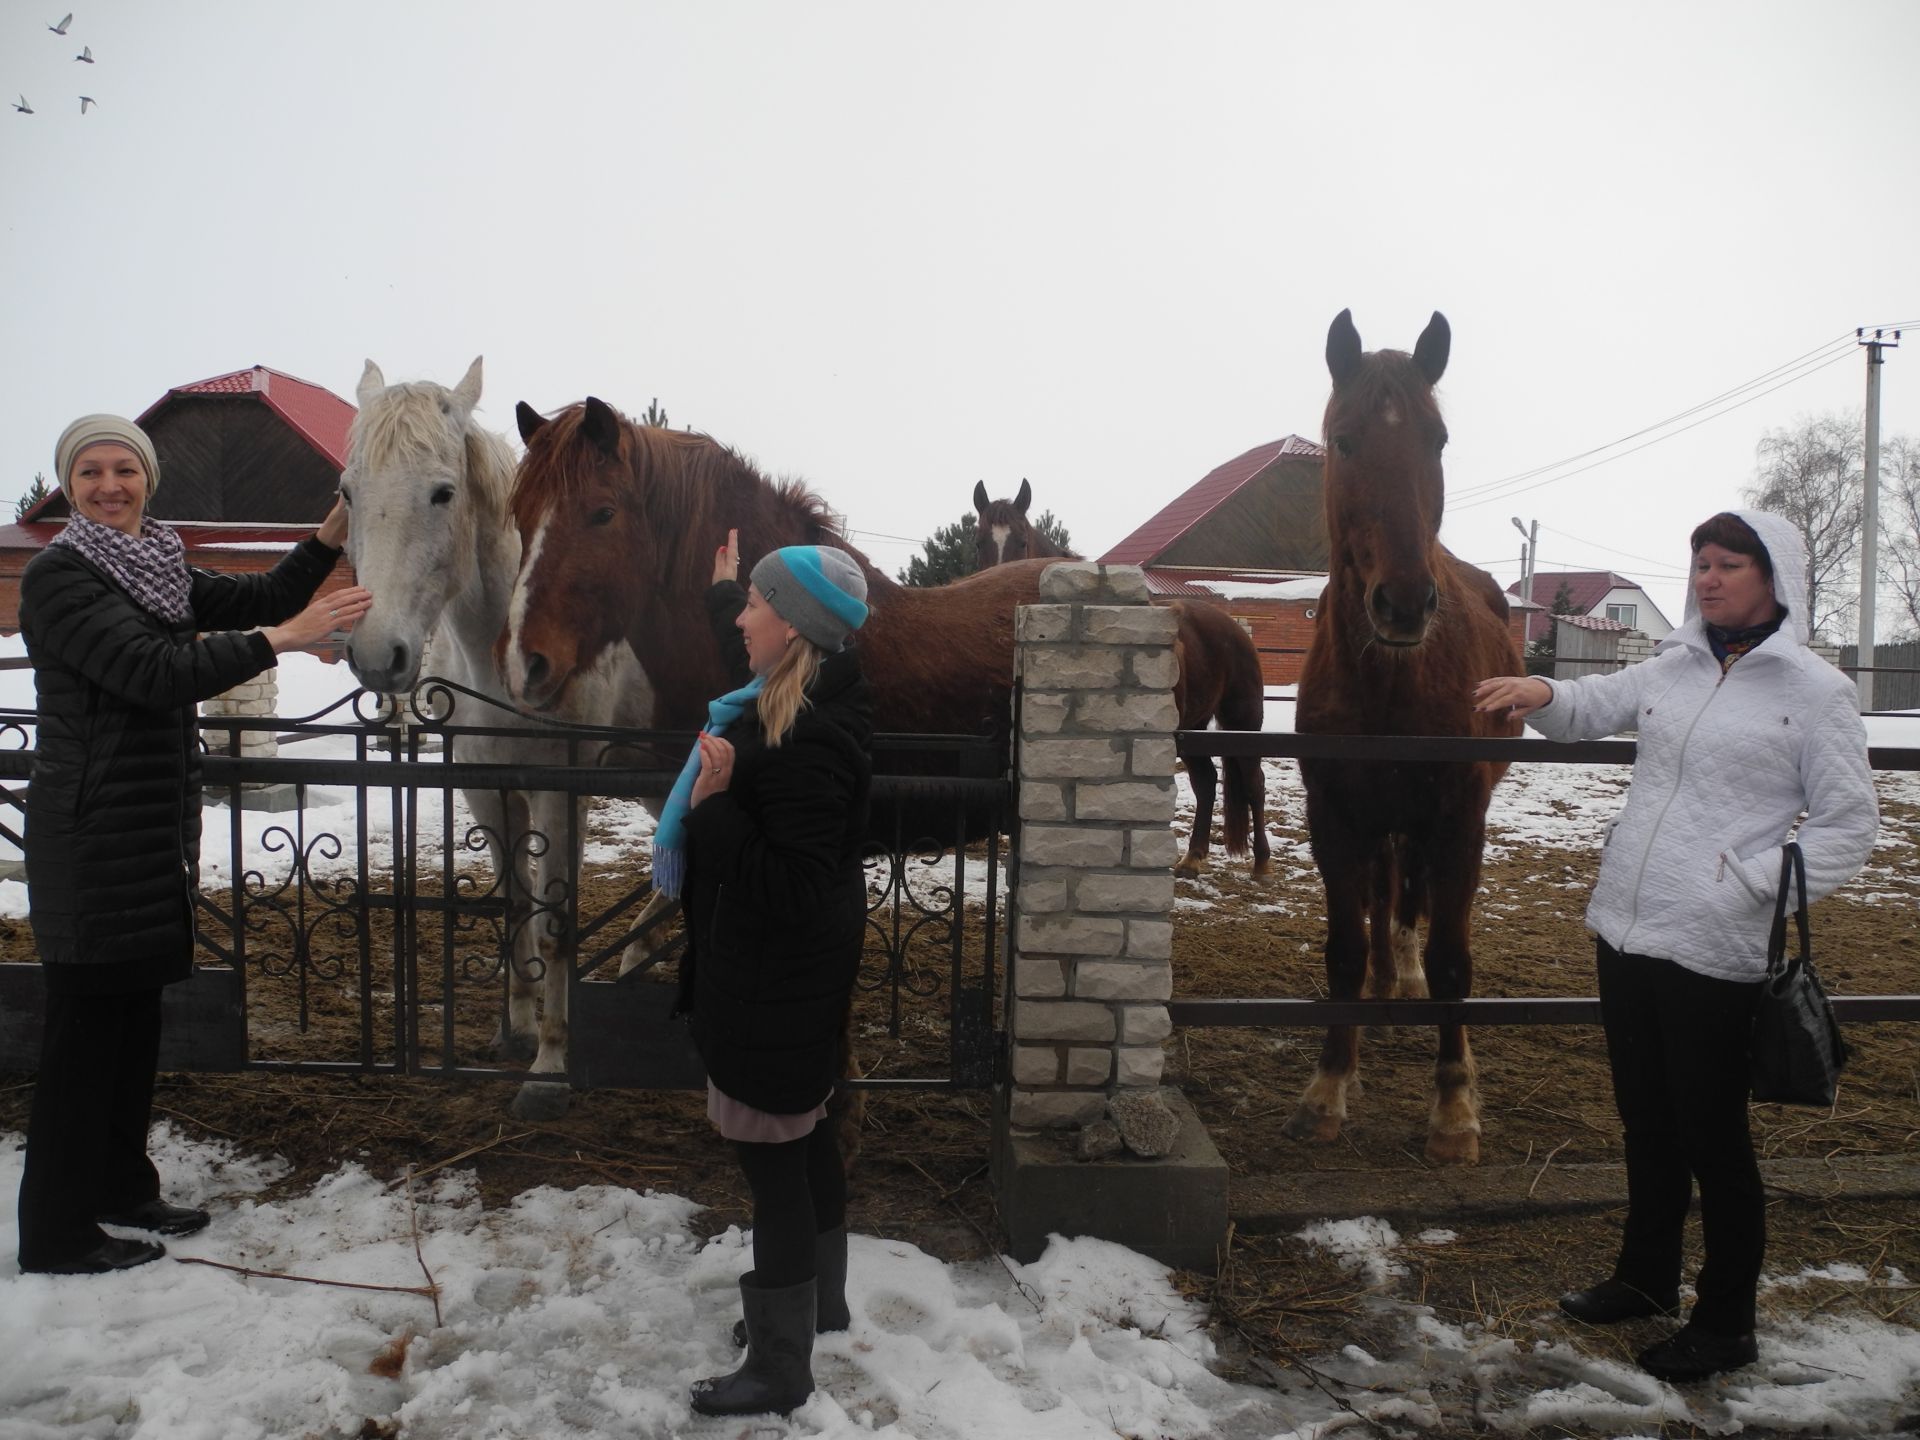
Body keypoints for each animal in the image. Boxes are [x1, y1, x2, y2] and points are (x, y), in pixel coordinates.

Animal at [337, 355, 652, 1098]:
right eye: (348, 492)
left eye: (443, 493)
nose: (378, 654)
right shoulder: (486, 789)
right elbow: (513, 908)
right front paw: (516, 1029)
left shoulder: (559, 794)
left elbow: (556, 920)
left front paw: (553, 1059)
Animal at [1282, 307, 1520, 1175]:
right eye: (1345, 439)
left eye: (1438, 439)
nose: (1406, 602)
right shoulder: (1334, 819)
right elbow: (1344, 949)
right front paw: (1327, 1090)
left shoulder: (1458, 822)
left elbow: (1454, 957)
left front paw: (1454, 1110)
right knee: (1387, 894)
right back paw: (1387, 984)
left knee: (1414, 901)